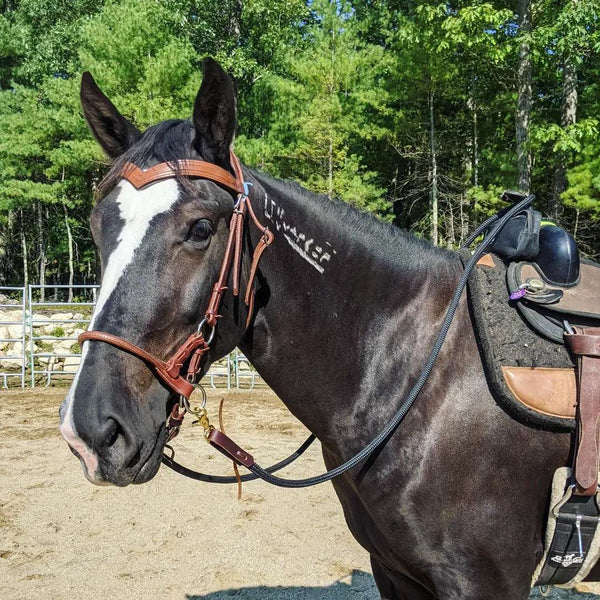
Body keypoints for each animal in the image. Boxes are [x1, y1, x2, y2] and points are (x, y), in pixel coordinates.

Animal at [59, 57, 580, 600]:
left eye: (200, 228)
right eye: (97, 227)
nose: (91, 430)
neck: (417, 376)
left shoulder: (486, 579)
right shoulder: (394, 569)